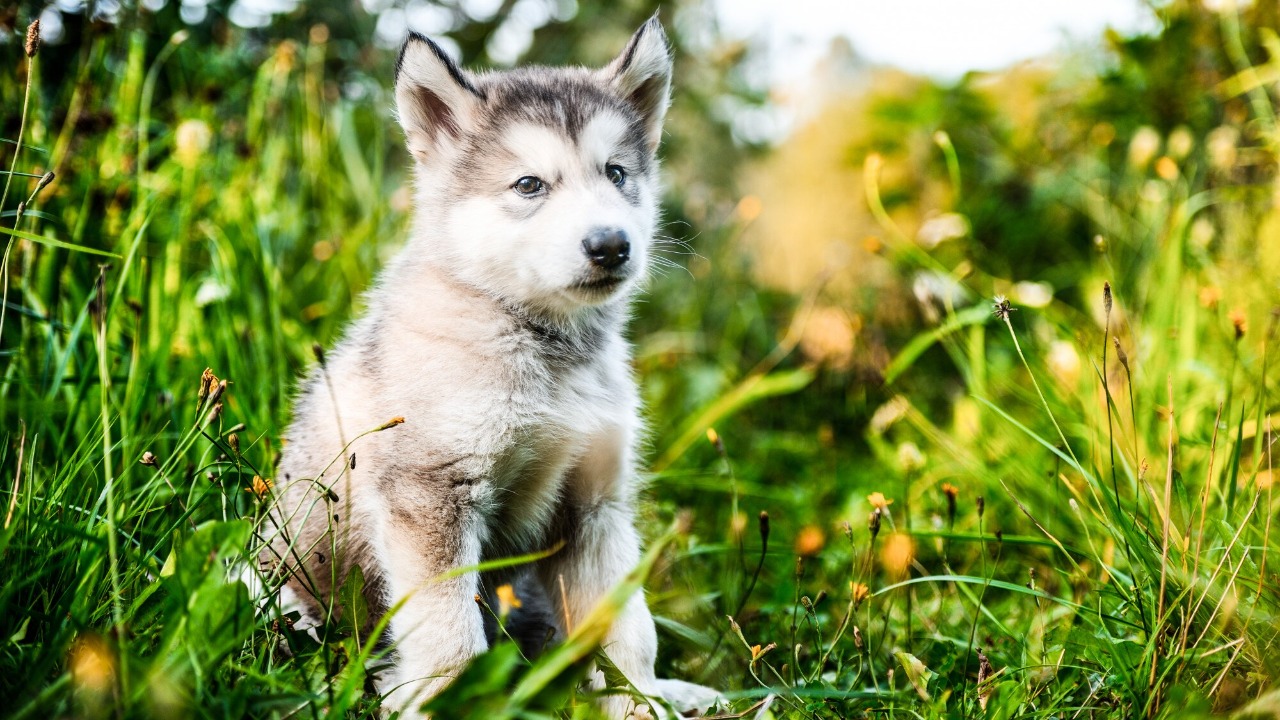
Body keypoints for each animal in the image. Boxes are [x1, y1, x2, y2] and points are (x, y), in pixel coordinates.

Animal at [261, 16, 706, 719]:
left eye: (616, 174)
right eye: (529, 185)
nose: (611, 245)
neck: (544, 349)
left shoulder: (597, 506)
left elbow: (629, 631)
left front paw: (642, 703)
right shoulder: (430, 494)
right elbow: (450, 635)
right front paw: (449, 702)